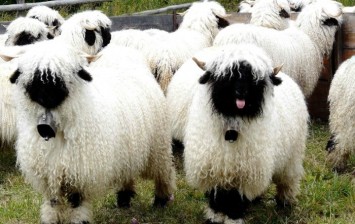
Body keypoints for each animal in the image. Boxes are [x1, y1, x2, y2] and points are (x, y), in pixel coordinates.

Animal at [10, 41, 178, 223]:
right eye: (34, 80)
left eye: (60, 79)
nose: (46, 99)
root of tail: (125, 53)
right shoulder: (49, 175)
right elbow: (53, 204)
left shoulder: (79, 173)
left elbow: (75, 202)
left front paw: (79, 220)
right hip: (127, 150)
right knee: (127, 172)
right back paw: (124, 198)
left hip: (157, 147)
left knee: (164, 172)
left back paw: (161, 200)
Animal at [184, 43, 308, 224]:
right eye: (227, 76)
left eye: (253, 78)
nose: (241, 93)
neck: (232, 126)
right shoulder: (213, 169)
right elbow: (216, 197)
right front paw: (215, 217)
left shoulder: (244, 172)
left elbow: (236, 199)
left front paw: (233, 218)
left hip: (291, 156)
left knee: (288, 179)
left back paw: (285, 202)